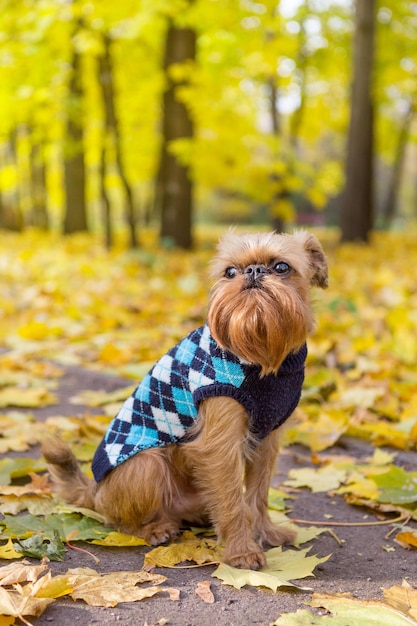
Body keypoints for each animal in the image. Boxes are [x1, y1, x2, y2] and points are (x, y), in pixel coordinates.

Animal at [42, 230, 328, 572]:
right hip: (146, 466)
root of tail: (93, 490)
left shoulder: (266, 442)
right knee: (119, 521)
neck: (262, 355)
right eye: (230, 272)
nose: (253, 271)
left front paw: (265, 532)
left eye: (282, 267)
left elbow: (257, 493)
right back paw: (154, 529)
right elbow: (233, 499)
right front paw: (241, 551)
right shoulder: (220, 446)